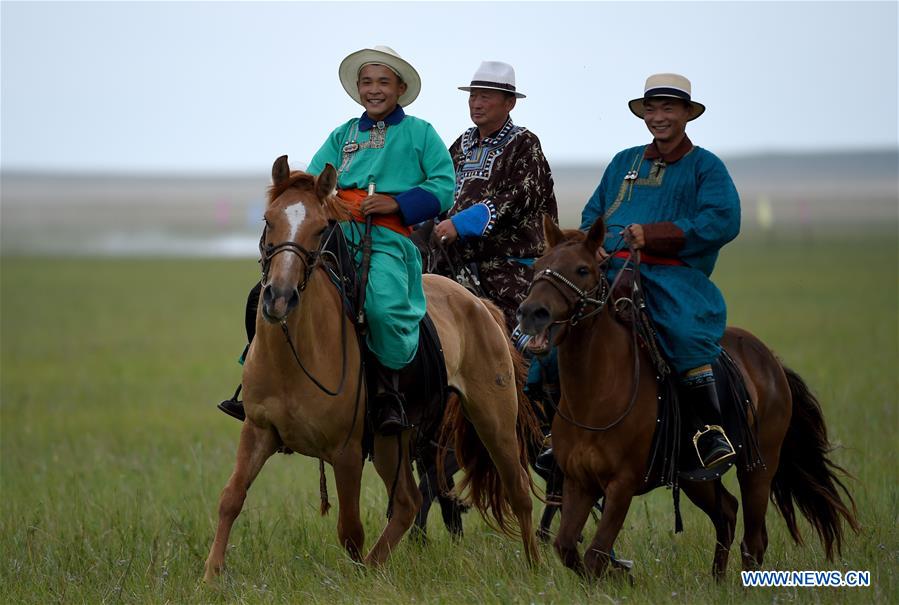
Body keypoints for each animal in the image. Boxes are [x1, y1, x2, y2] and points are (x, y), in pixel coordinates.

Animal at [206, 157, 540, 580]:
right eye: (268, 220)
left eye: (321, 228)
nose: (279, 298)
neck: (294, 355)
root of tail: (479, 303)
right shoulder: (258, 430)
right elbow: (231, 498)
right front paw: (210, 576)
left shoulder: (346, 451)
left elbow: (350, 528)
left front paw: (352, 580)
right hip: (390, 440)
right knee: (409, 502)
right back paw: (375, 566)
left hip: (493, 419)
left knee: (517, 490)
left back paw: (535, 565)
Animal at [512, 217, 856, 580]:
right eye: (537, 266)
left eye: (582, 269)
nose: (531, 313)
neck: (596, 397)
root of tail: (770, 360)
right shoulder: (579, 482)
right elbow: (567, 548)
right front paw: (620, 575)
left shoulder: (621, 486)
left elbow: (595, 554)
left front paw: (620, 575)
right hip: (696, 477)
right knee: (727, 513)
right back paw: (717, 581)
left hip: (760, 468)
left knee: (753, 540)